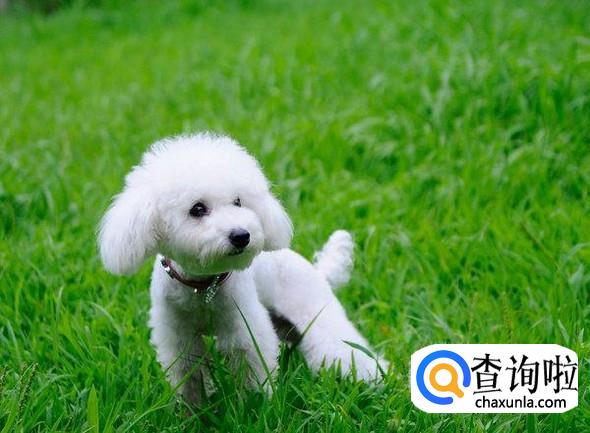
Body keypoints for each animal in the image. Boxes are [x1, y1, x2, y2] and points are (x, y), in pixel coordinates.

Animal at [98, 133, 388, 404]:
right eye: (197, 209)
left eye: (238, 201)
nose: (241, 235)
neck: (203, 287)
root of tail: (319, 272)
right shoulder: (179, 339)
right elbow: (190, 382)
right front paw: (193, 412)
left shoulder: (245, 330)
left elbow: (253, 377)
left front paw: (255, 408)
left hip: (317, 316)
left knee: (348, 350)